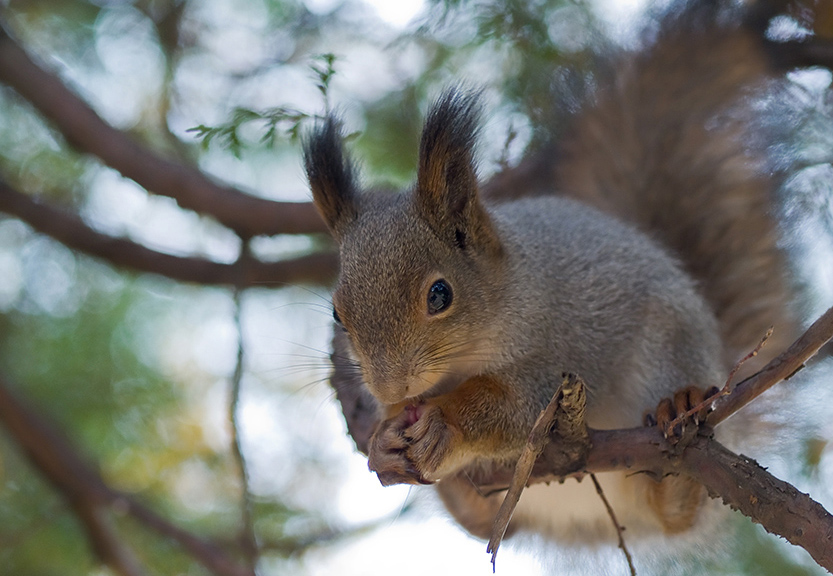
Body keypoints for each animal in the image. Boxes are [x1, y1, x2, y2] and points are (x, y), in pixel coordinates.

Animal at [304, 0, 800, 544]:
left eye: (439, 294)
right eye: (337, 313)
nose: (391, 389)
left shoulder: (556, 356)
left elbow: (514, 407)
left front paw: (445, 421)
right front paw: (382, 440)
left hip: (669, 353)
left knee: (678, 505)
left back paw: (679, 422)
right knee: (483, 522)